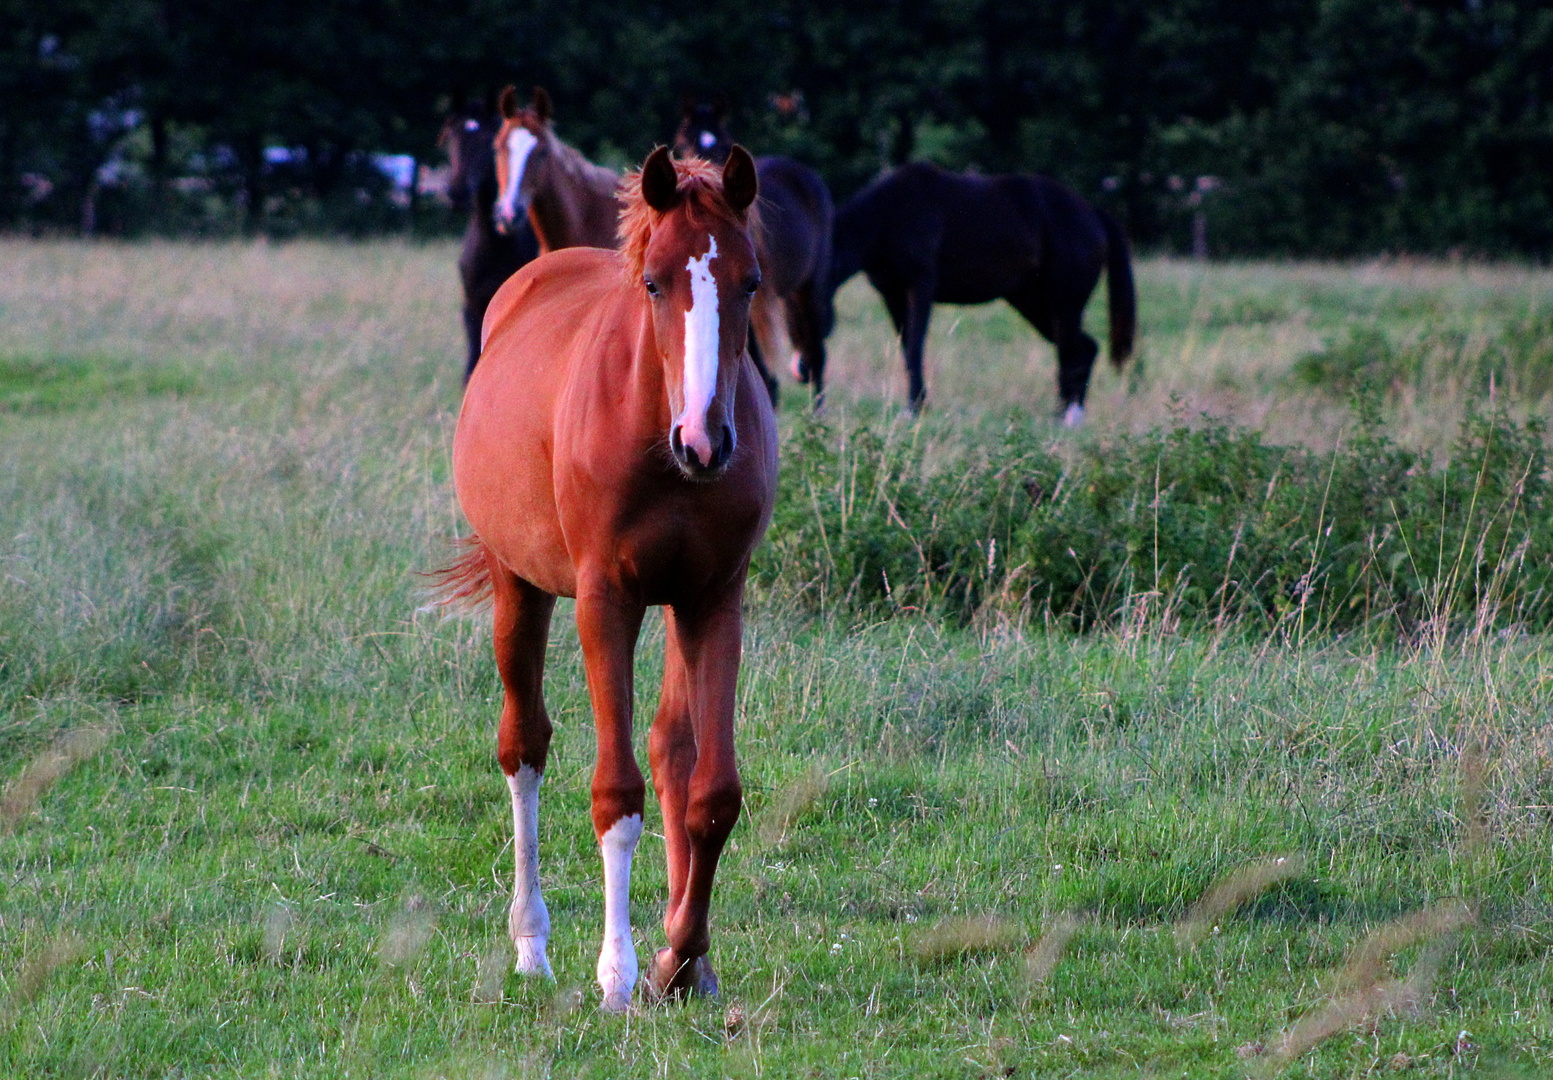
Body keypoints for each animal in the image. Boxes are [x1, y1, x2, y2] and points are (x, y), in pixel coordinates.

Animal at [437, 147, 776, 1006]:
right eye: (653, 283)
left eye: (751, 280)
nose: (704, 441)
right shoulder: (605, 601)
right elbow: (615, 794)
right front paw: (617, 972)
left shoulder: (713, 599)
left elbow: (710, 794)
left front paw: (680, 958)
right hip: (518, 585)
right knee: (523, 746)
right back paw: (532, 944)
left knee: (670, 751)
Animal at [441, 97, 543, 382]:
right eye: (451, 137)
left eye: (488, 142)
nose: (456, 193)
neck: (495, 247)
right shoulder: (473, 309)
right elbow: (472, 370)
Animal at [832, 160, 1136, 422]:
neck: (889, 215)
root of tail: (1093, 214)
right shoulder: (891, 295)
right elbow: (905, 346)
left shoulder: (919, 288)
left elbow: (915, 346)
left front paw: (915, 409)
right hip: (1034, 305)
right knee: (1084, 348)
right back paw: (1063, 415)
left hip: (1065, 304)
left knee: (1072, 353)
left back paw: (1068, 419)